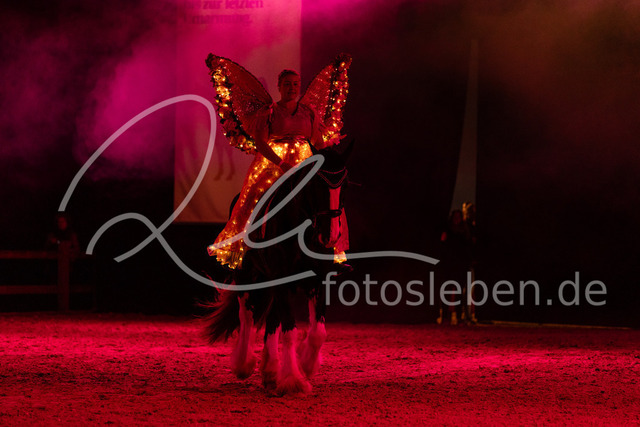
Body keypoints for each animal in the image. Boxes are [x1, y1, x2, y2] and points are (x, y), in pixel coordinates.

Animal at [204, 140, 353, 395]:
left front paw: (306, 364)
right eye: (315, 184)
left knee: (271, 320)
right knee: (246, 315)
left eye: (344, 185)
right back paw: (244, 364)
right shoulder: (281, 278)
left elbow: (317, 333)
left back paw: (270, 370)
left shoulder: (318, 280)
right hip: (246, 276)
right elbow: (289, 331)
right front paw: (293, 379)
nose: (330, 236)